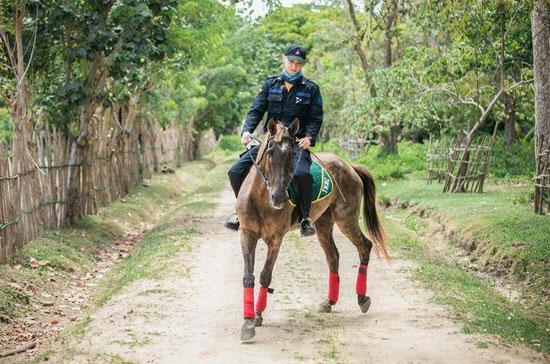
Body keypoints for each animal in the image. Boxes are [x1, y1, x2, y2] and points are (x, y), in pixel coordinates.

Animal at [235, 118, 390, 340]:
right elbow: (248, 276)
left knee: (365, 246)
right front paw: (247, 322)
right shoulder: (247, 234)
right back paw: (329, 302)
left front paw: (257, 314)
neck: (261, 199)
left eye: (293, 154)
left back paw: (362, 298)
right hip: (324, 223)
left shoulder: (275, 239)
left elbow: (265, 275)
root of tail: (349, 165)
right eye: (270, 151)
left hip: (346, 219)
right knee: (333, 256)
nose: (279, 198)